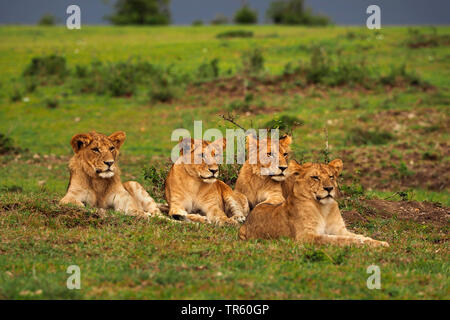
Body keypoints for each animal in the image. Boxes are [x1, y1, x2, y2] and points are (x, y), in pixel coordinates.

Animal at [239, 159, 390, 248]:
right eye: (315, 177)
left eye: (331, 176)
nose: (329, 188)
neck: (324, 209)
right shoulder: (306, 237)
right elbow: (335, 239)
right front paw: (358, 243)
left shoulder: (339, 229)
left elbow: (359, 236)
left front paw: (379, 243)